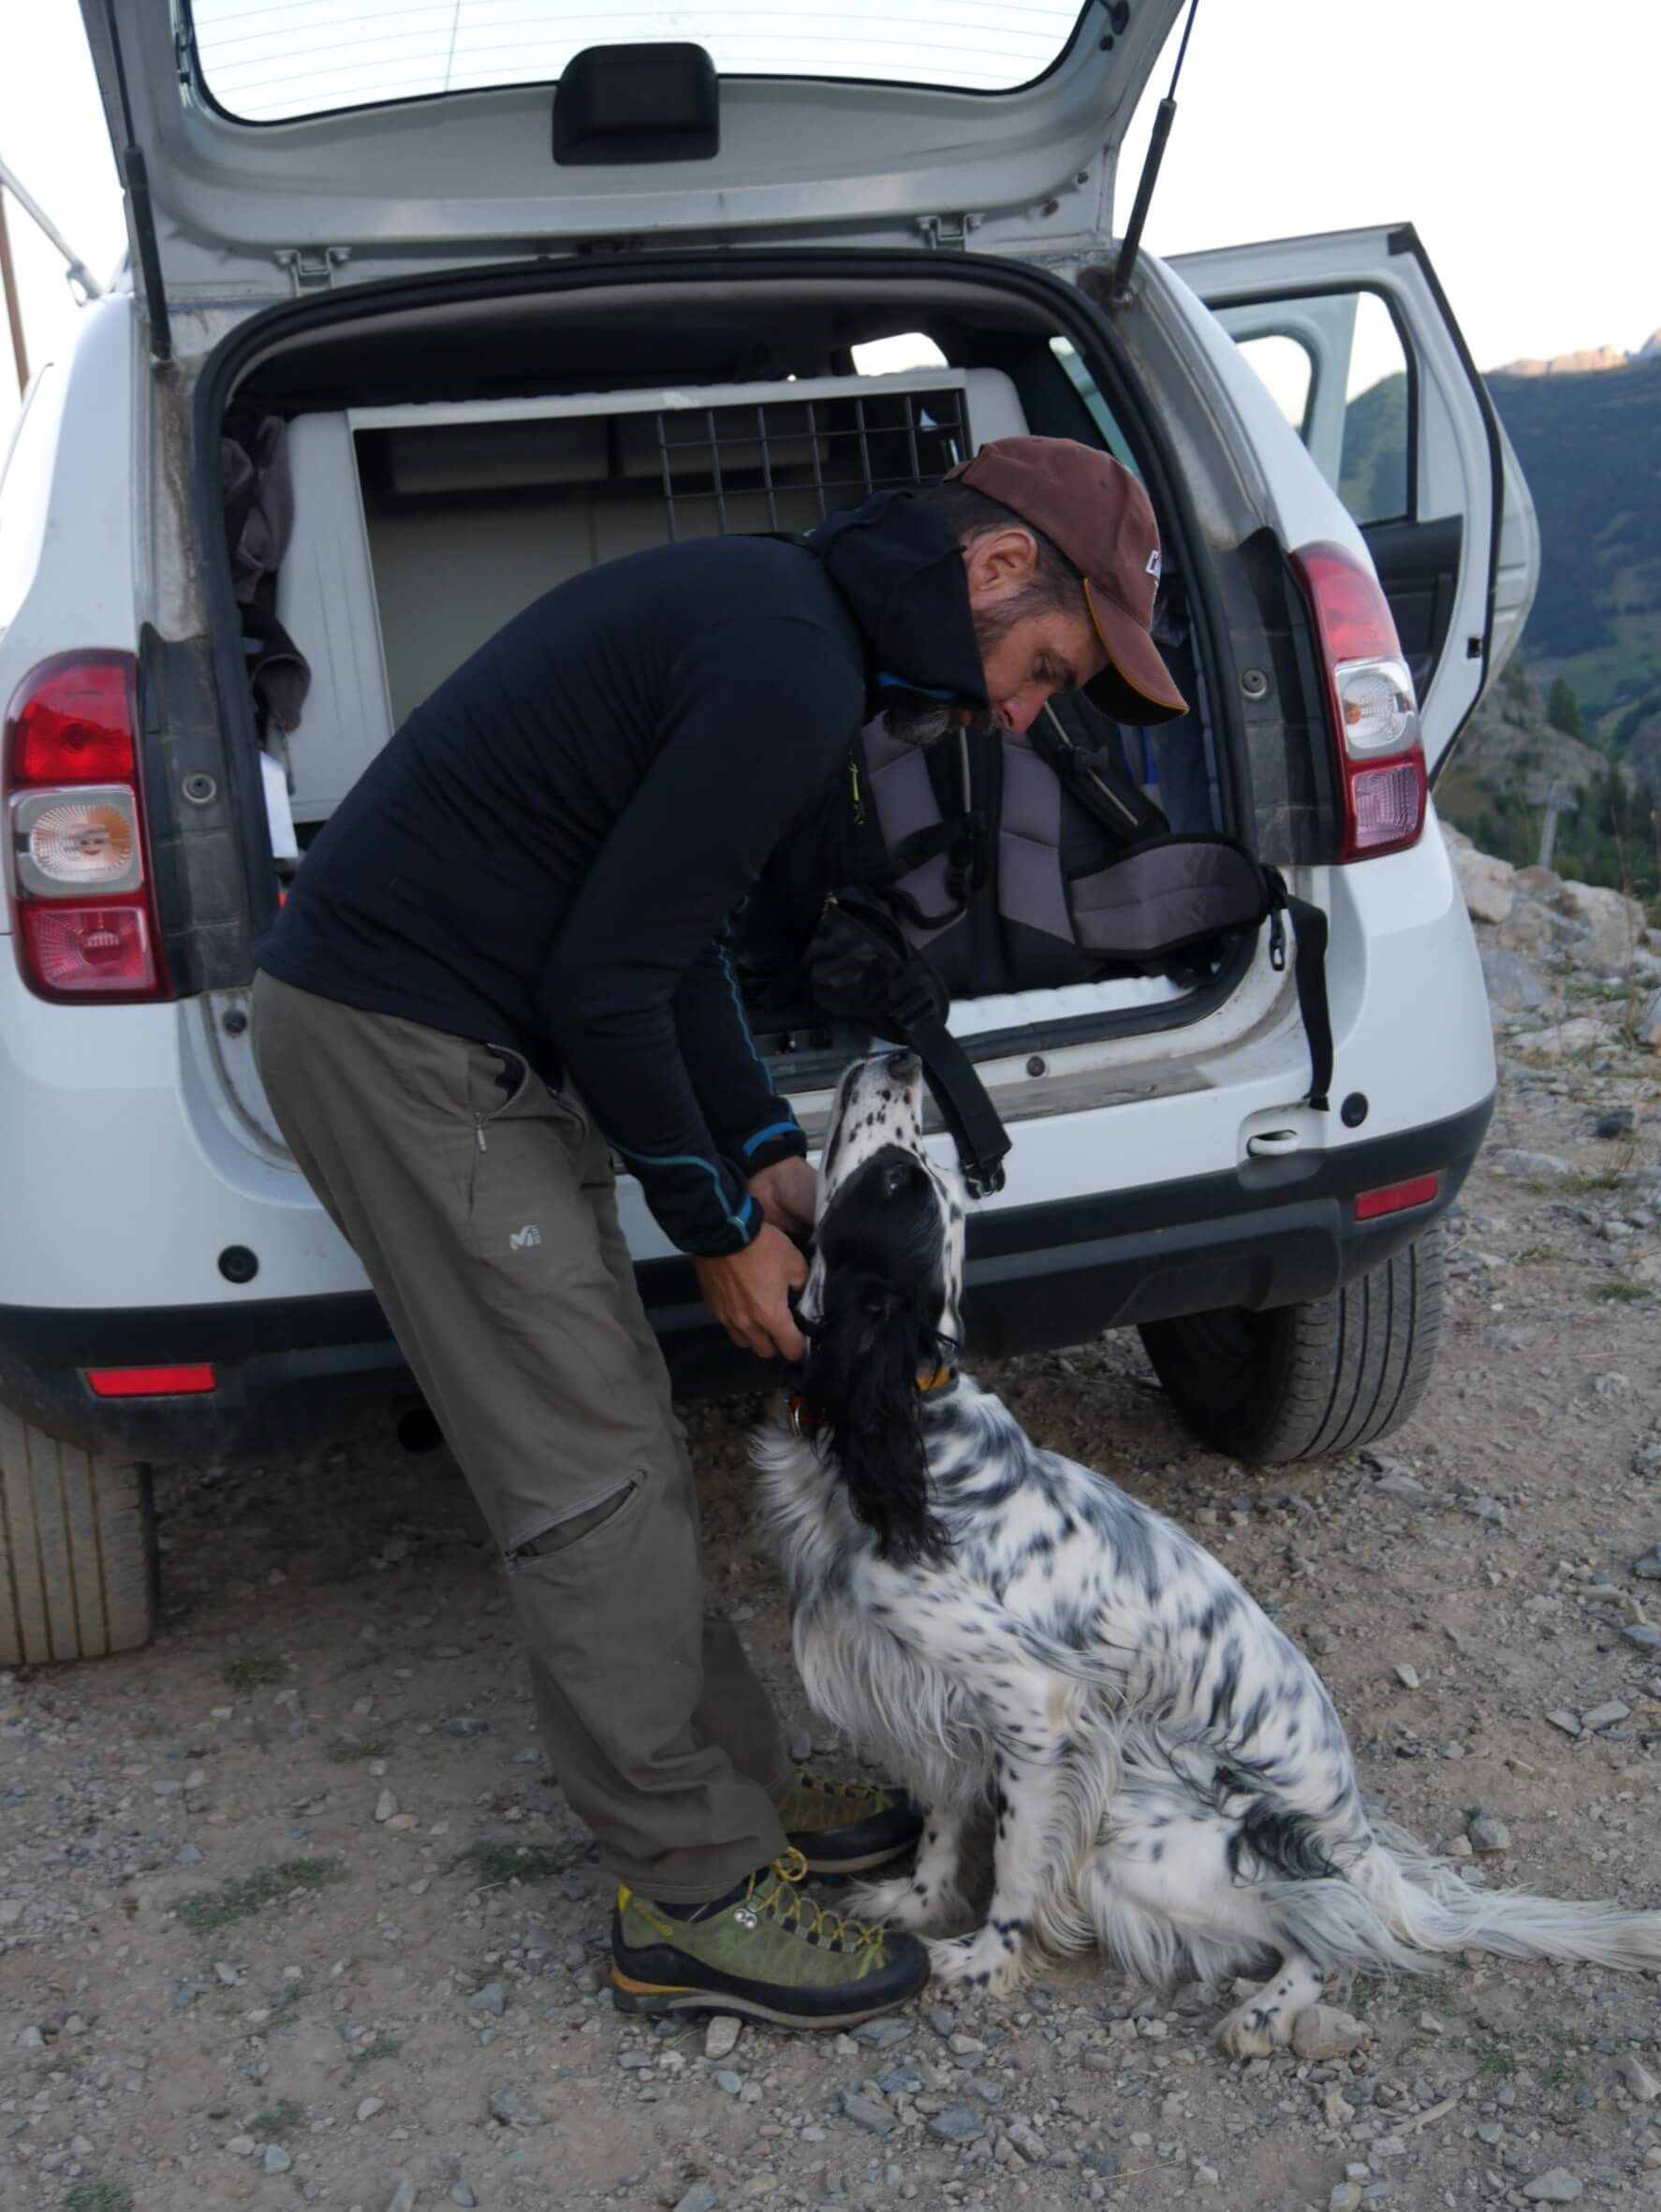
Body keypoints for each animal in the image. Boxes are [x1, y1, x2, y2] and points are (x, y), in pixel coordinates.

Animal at [756, 1044, 1661, 2044]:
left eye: (895, 1178)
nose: (902, 1056)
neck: (907, 1434)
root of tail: (1365, 1848)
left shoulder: (1035, 1710)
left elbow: (1017, 1863)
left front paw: (983, 1961)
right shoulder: (935, 1697)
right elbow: (940, 1824)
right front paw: (913, 1906)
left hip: (1146, 1836)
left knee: (1338, 1927)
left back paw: (1269, 2010)